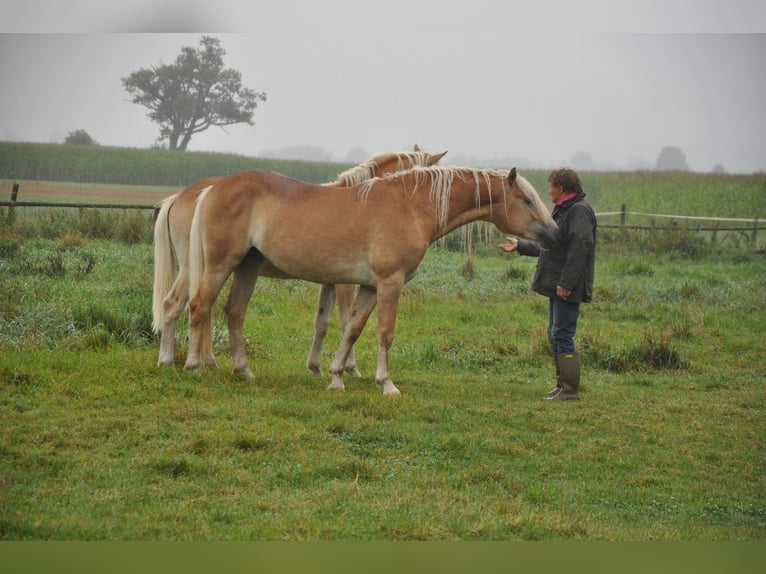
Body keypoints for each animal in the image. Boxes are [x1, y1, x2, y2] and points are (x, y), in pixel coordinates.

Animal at [152, 146, 448, 376]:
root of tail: (183, 196)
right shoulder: (346, 283)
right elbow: (345, 321)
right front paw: (350, 368)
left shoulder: (329, 281)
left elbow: (323, 322)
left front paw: (317, 367)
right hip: (199, 267)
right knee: (181, 305)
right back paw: (177, 361)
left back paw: (192, 361)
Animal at [184, 164, 560, 394]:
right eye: (527, 199)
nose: (555, 234)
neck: (411, 206)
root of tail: (213, 189)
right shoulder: (390, 283)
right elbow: (384, 332)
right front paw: (386, 383)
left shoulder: (368, 286)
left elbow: (352, 329)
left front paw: (336, 377)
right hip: (220, 264)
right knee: (199, 306)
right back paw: (193, 367)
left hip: (248, 266)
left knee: (234, 312)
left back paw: (243, 370)